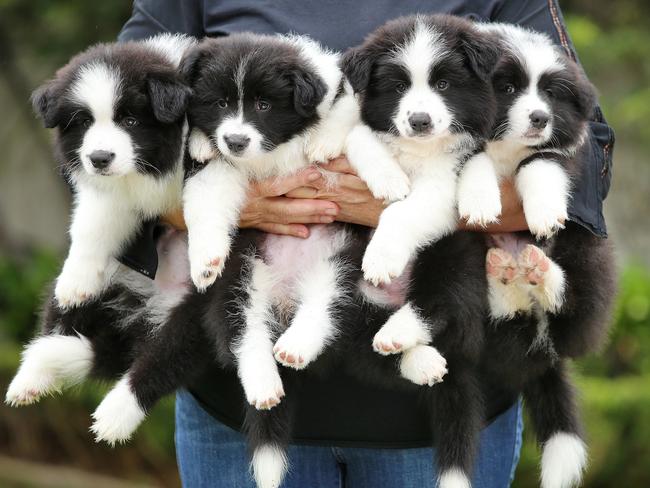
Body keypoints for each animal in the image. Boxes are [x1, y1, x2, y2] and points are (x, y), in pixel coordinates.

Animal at [342, 14, 498, 286]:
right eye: (399, 87)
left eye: (443, 84)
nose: (419, 121)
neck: (420, 147)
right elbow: (359, 136)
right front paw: (390, 180)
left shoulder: (440, 186)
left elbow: (401, 212)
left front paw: (381, 259)